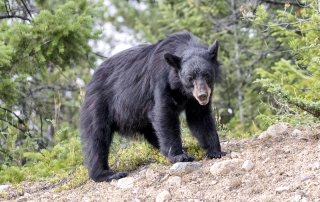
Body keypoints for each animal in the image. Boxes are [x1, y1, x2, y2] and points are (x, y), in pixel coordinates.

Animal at [80, 31, 225, 181]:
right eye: (190, 78)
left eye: (207, 74)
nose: (202, 96)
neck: (181, 89)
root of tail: (90, 81)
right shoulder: (161, 82)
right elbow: (164, 113)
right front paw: (180, 156)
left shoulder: (195, 97)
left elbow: (199, 117)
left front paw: (215, 151)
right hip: (99, 104)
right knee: (97, 138)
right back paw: (106, 173)